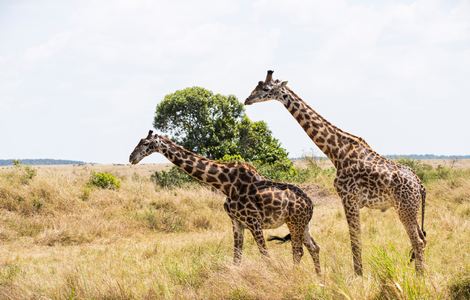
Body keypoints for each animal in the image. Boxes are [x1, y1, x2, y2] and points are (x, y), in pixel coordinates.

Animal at [130, 130, 322, 274]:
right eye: (139, 142)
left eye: (145, 143)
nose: (132, 157)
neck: (226, 184)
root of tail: (311, 204)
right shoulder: (236, 222)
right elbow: (236, 257)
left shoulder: (254, 221)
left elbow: (265, 255)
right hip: (303, 224)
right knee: (314, 248)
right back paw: (320, 279)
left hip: (294, 222)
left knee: (298, 251)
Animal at [244, 69, 428, 274]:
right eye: (257, 85)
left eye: (266, 89)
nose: (247, 100)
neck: (336, 152)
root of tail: (420, 185)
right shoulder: (351, 201)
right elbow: (356, 239)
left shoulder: (349, 198)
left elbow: (355, 240)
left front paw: (358, 276)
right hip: (410, 208)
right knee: (422, 238)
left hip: (405, 207)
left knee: (418, 241)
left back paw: (419, 277)